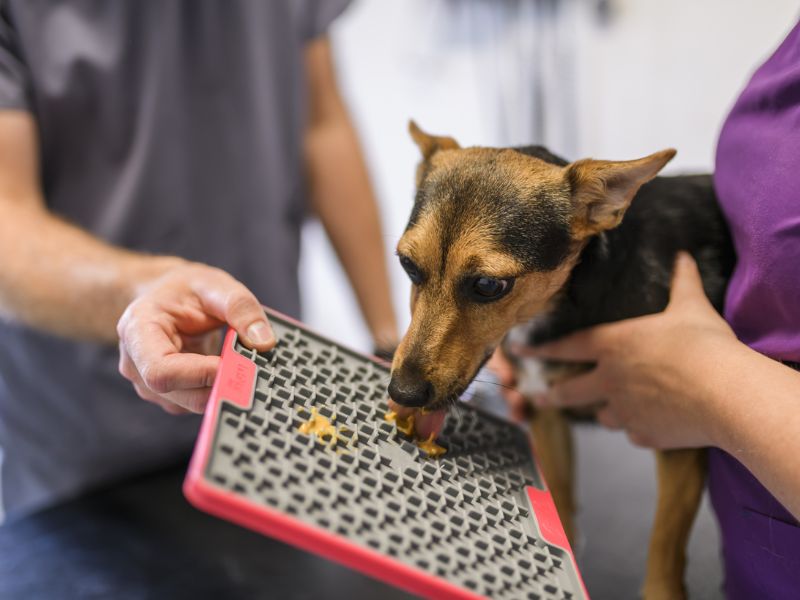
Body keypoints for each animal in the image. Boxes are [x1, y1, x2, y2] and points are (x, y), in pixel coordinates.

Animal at [390, 122, 736, 600]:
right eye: (407, 265)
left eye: (488, 285)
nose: (401, 392)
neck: (554, 307)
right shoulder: (547, 416)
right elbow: (563, 506)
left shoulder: (679, 445)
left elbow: (664, 552)